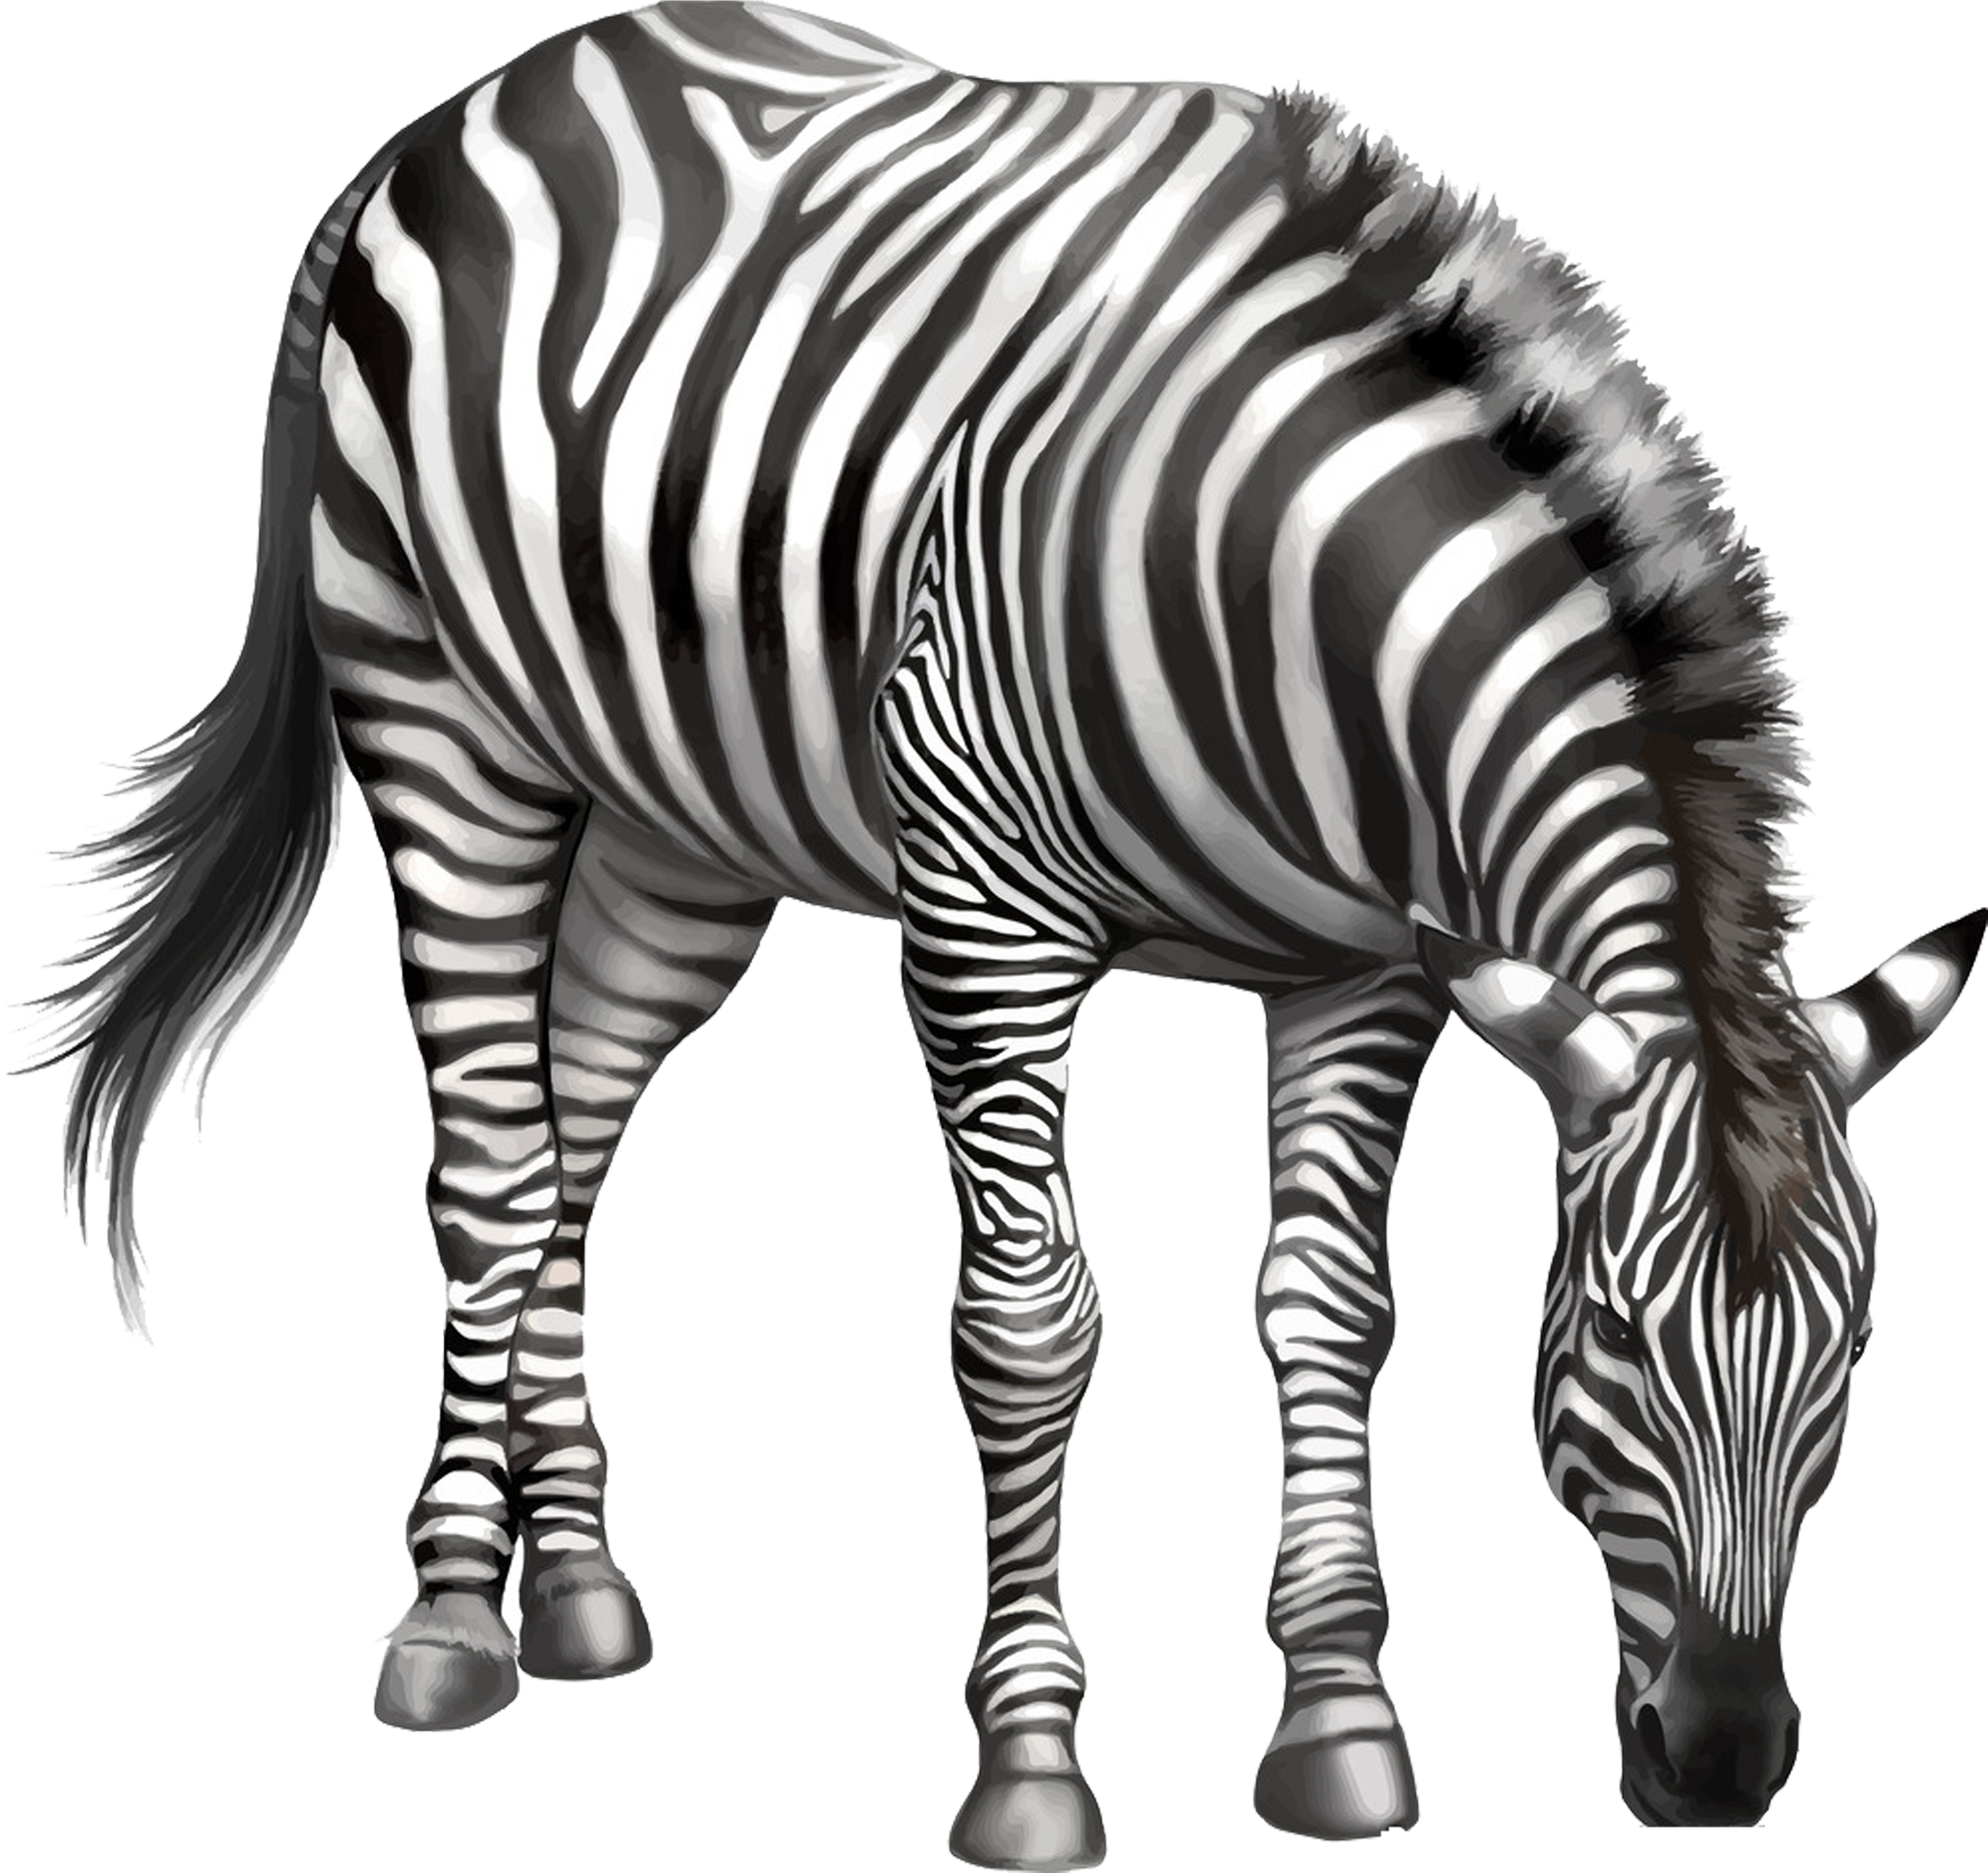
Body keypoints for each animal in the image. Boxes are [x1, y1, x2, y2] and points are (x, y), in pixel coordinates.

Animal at [13, 0, 1980, 1854]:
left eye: (1856, 1353)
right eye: (1613, 1343)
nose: (1718, 1768)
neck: (1298, 600)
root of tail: (467, 103)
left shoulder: (1364, 970)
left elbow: (1330, 1311)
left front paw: (1339, 1731)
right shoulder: (985, 908)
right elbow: (1033, 1330)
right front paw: (1033, 1771)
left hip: (675, 827)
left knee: (571, 1147)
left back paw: (569, 1589)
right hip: (438, 714)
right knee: (494, 1167)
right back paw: (444, 1627)